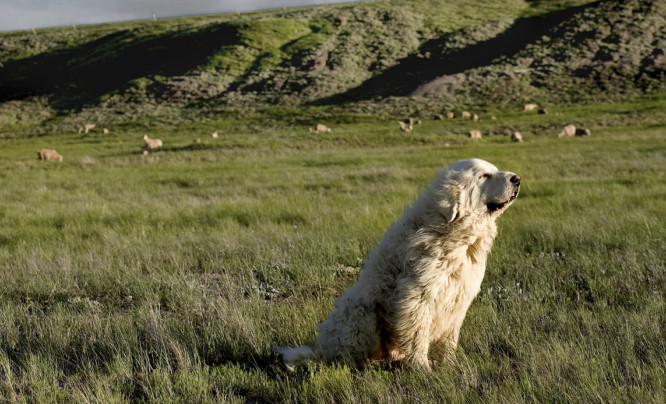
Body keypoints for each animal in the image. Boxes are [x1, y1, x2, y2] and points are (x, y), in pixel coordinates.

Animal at [274, 157, 520, 370]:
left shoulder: (458, 297)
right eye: (484, 176)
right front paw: (422, 369)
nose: (516, 178)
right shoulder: (417, 296)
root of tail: (321, 352)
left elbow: (449, 337)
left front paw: (449, 364)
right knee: (350, 356)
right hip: (363, 314)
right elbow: (418, 334)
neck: (451, 231)